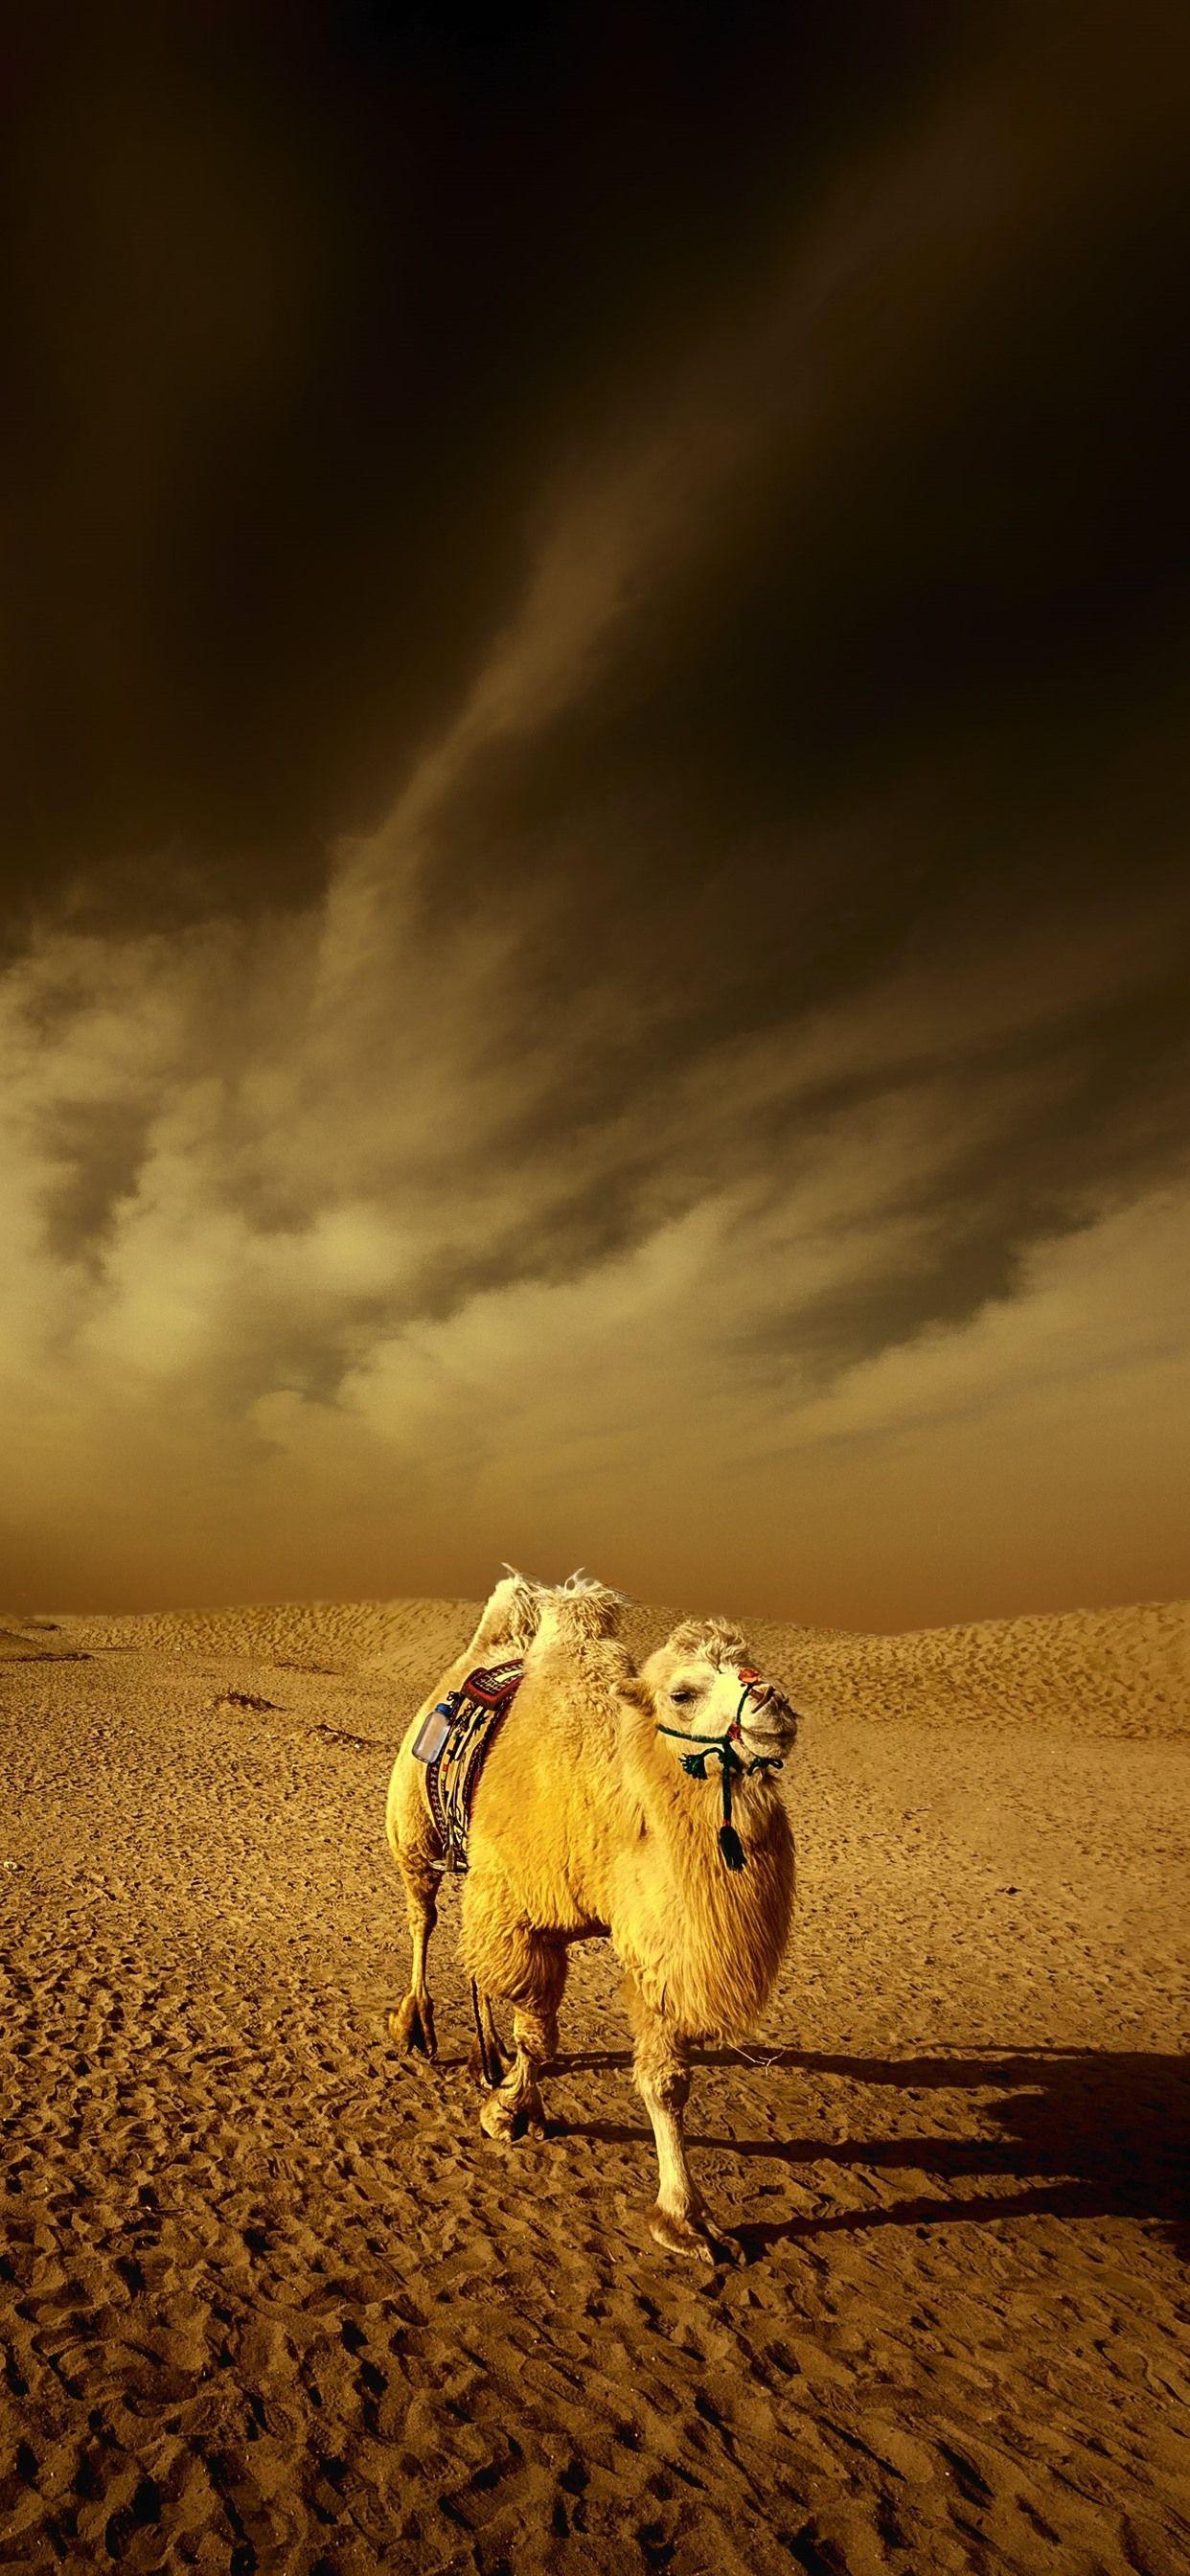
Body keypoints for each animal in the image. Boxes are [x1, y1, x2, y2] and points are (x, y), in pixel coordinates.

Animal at [385, 1570, 798, 2261]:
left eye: (754, 1666)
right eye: (683, 1693)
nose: (774, 1703)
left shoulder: (652, 1942)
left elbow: (665, 2080)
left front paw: (687, 2221)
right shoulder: (524, 1916)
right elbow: (539, 2034)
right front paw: (511, 2113)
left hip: (477, 1877)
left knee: (473, 1960)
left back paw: (486, 2056)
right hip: (414, 1833)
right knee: (423, 1917)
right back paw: (417, 2028)